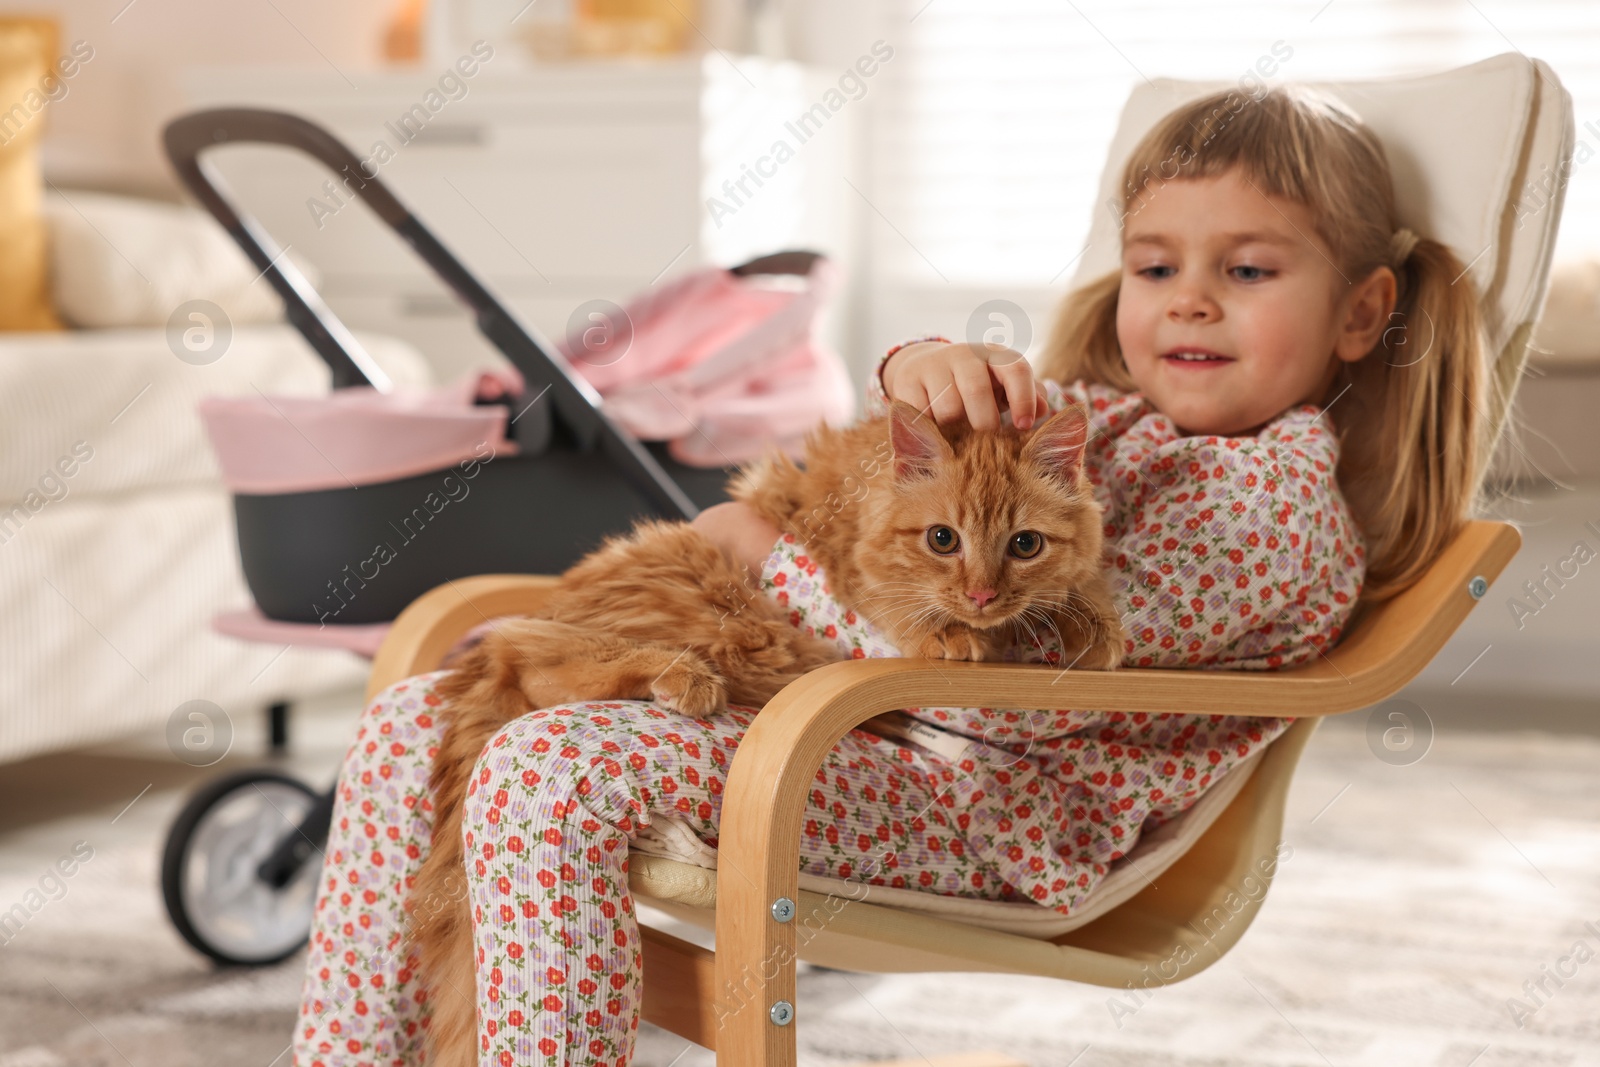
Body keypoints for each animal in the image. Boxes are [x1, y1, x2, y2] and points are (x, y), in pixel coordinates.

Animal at [406, 399, 1120, 1067]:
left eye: (1024, 545)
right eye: (943, 539)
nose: (981, 595)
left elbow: (1080, 591)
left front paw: (1093, 627)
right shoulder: (850, 564)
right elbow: (900, 602)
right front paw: (953, 633)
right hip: (731, 618)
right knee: (535, 654)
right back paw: (679, 677)